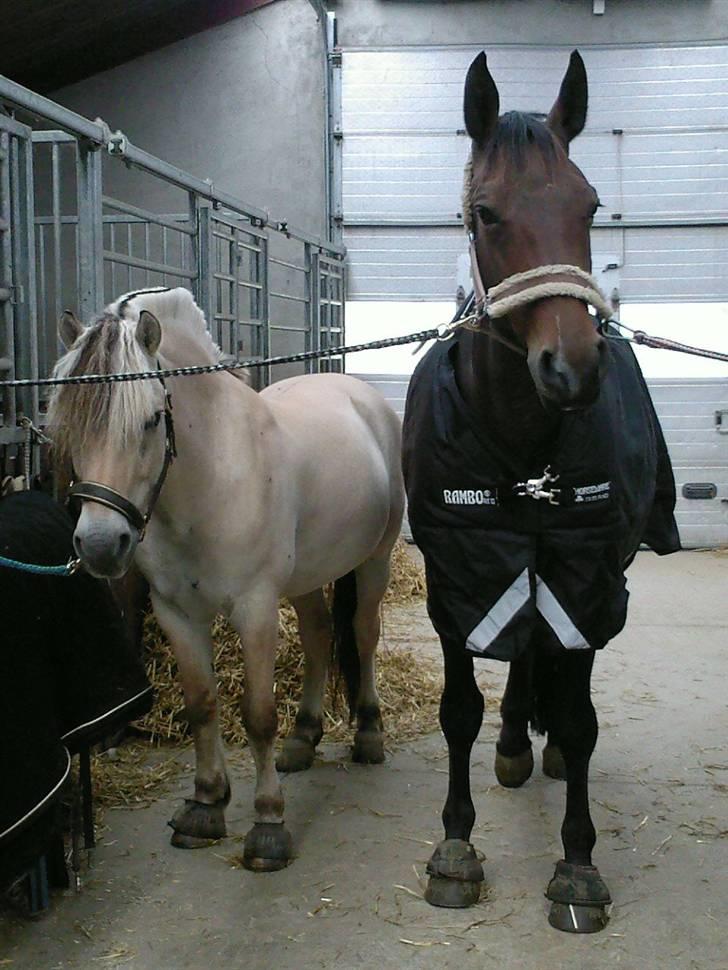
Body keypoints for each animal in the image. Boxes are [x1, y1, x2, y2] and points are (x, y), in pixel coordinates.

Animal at [47, 286, 405, 871]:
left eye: (151, 419)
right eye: (69, 421)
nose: (100, 545)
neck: (212, 480)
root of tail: (361, 396)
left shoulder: (255, 609)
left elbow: (257, 715)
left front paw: (267, 825)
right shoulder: (176, 612)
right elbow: (202, 705)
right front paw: (206, 805)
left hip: (374, 559)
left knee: (363, 634)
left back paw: (369, 733)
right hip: (306, 578)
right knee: (317, 636)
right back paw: (303, 739)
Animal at [402, 51, 680, 933]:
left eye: (588, 205)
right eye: (487, 213)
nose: (573, 367)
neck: (522, 438)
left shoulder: (582, 566)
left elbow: (583, 713)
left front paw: (578, 862)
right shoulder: (458, 570)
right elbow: (458, 710)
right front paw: (456, 848)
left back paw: (541, 741)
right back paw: (519, 745)